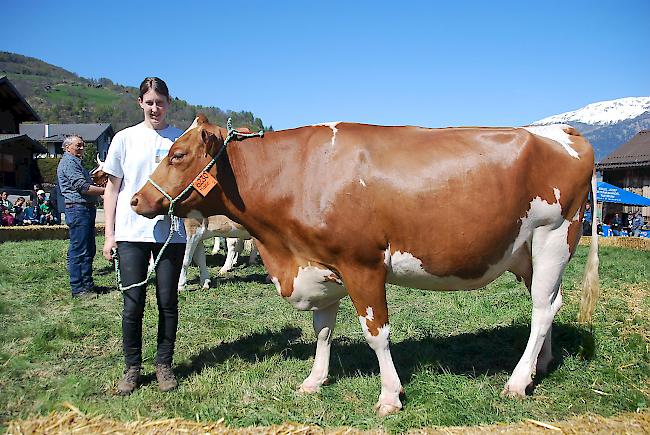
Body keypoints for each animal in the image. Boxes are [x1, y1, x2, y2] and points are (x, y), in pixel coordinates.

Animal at [130, 115, 596, 416]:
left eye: (177, 154)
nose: (136, 199)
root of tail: (563, 130)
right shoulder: (321, 265)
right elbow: (322, 330)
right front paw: (314, 380)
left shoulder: (362, 264)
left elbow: (377, 334)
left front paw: (390, 396)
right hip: (526, 252)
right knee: (549, 305)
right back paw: (539, 367)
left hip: (554, 235)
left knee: (542, 310)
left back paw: (516, 382)